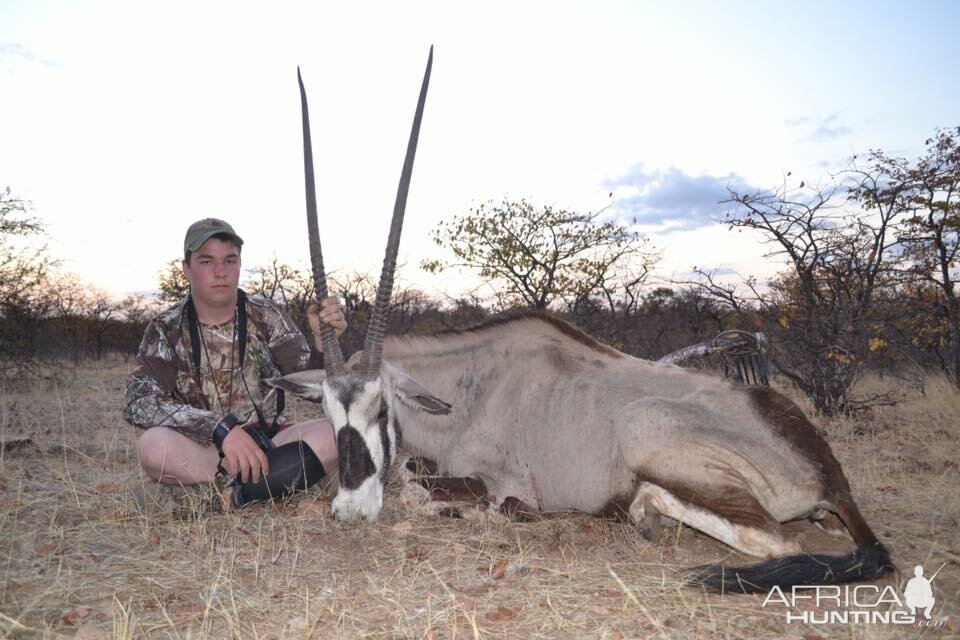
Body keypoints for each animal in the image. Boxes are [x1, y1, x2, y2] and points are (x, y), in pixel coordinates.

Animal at [270, 50, 892, 596]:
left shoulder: (497, 478)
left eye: (381, 410)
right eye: (327, 413)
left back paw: (642, 513)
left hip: (656, 439)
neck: (473, 388)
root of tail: (822, 465)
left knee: (776, 542)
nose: (350, 511)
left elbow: (426, 487)